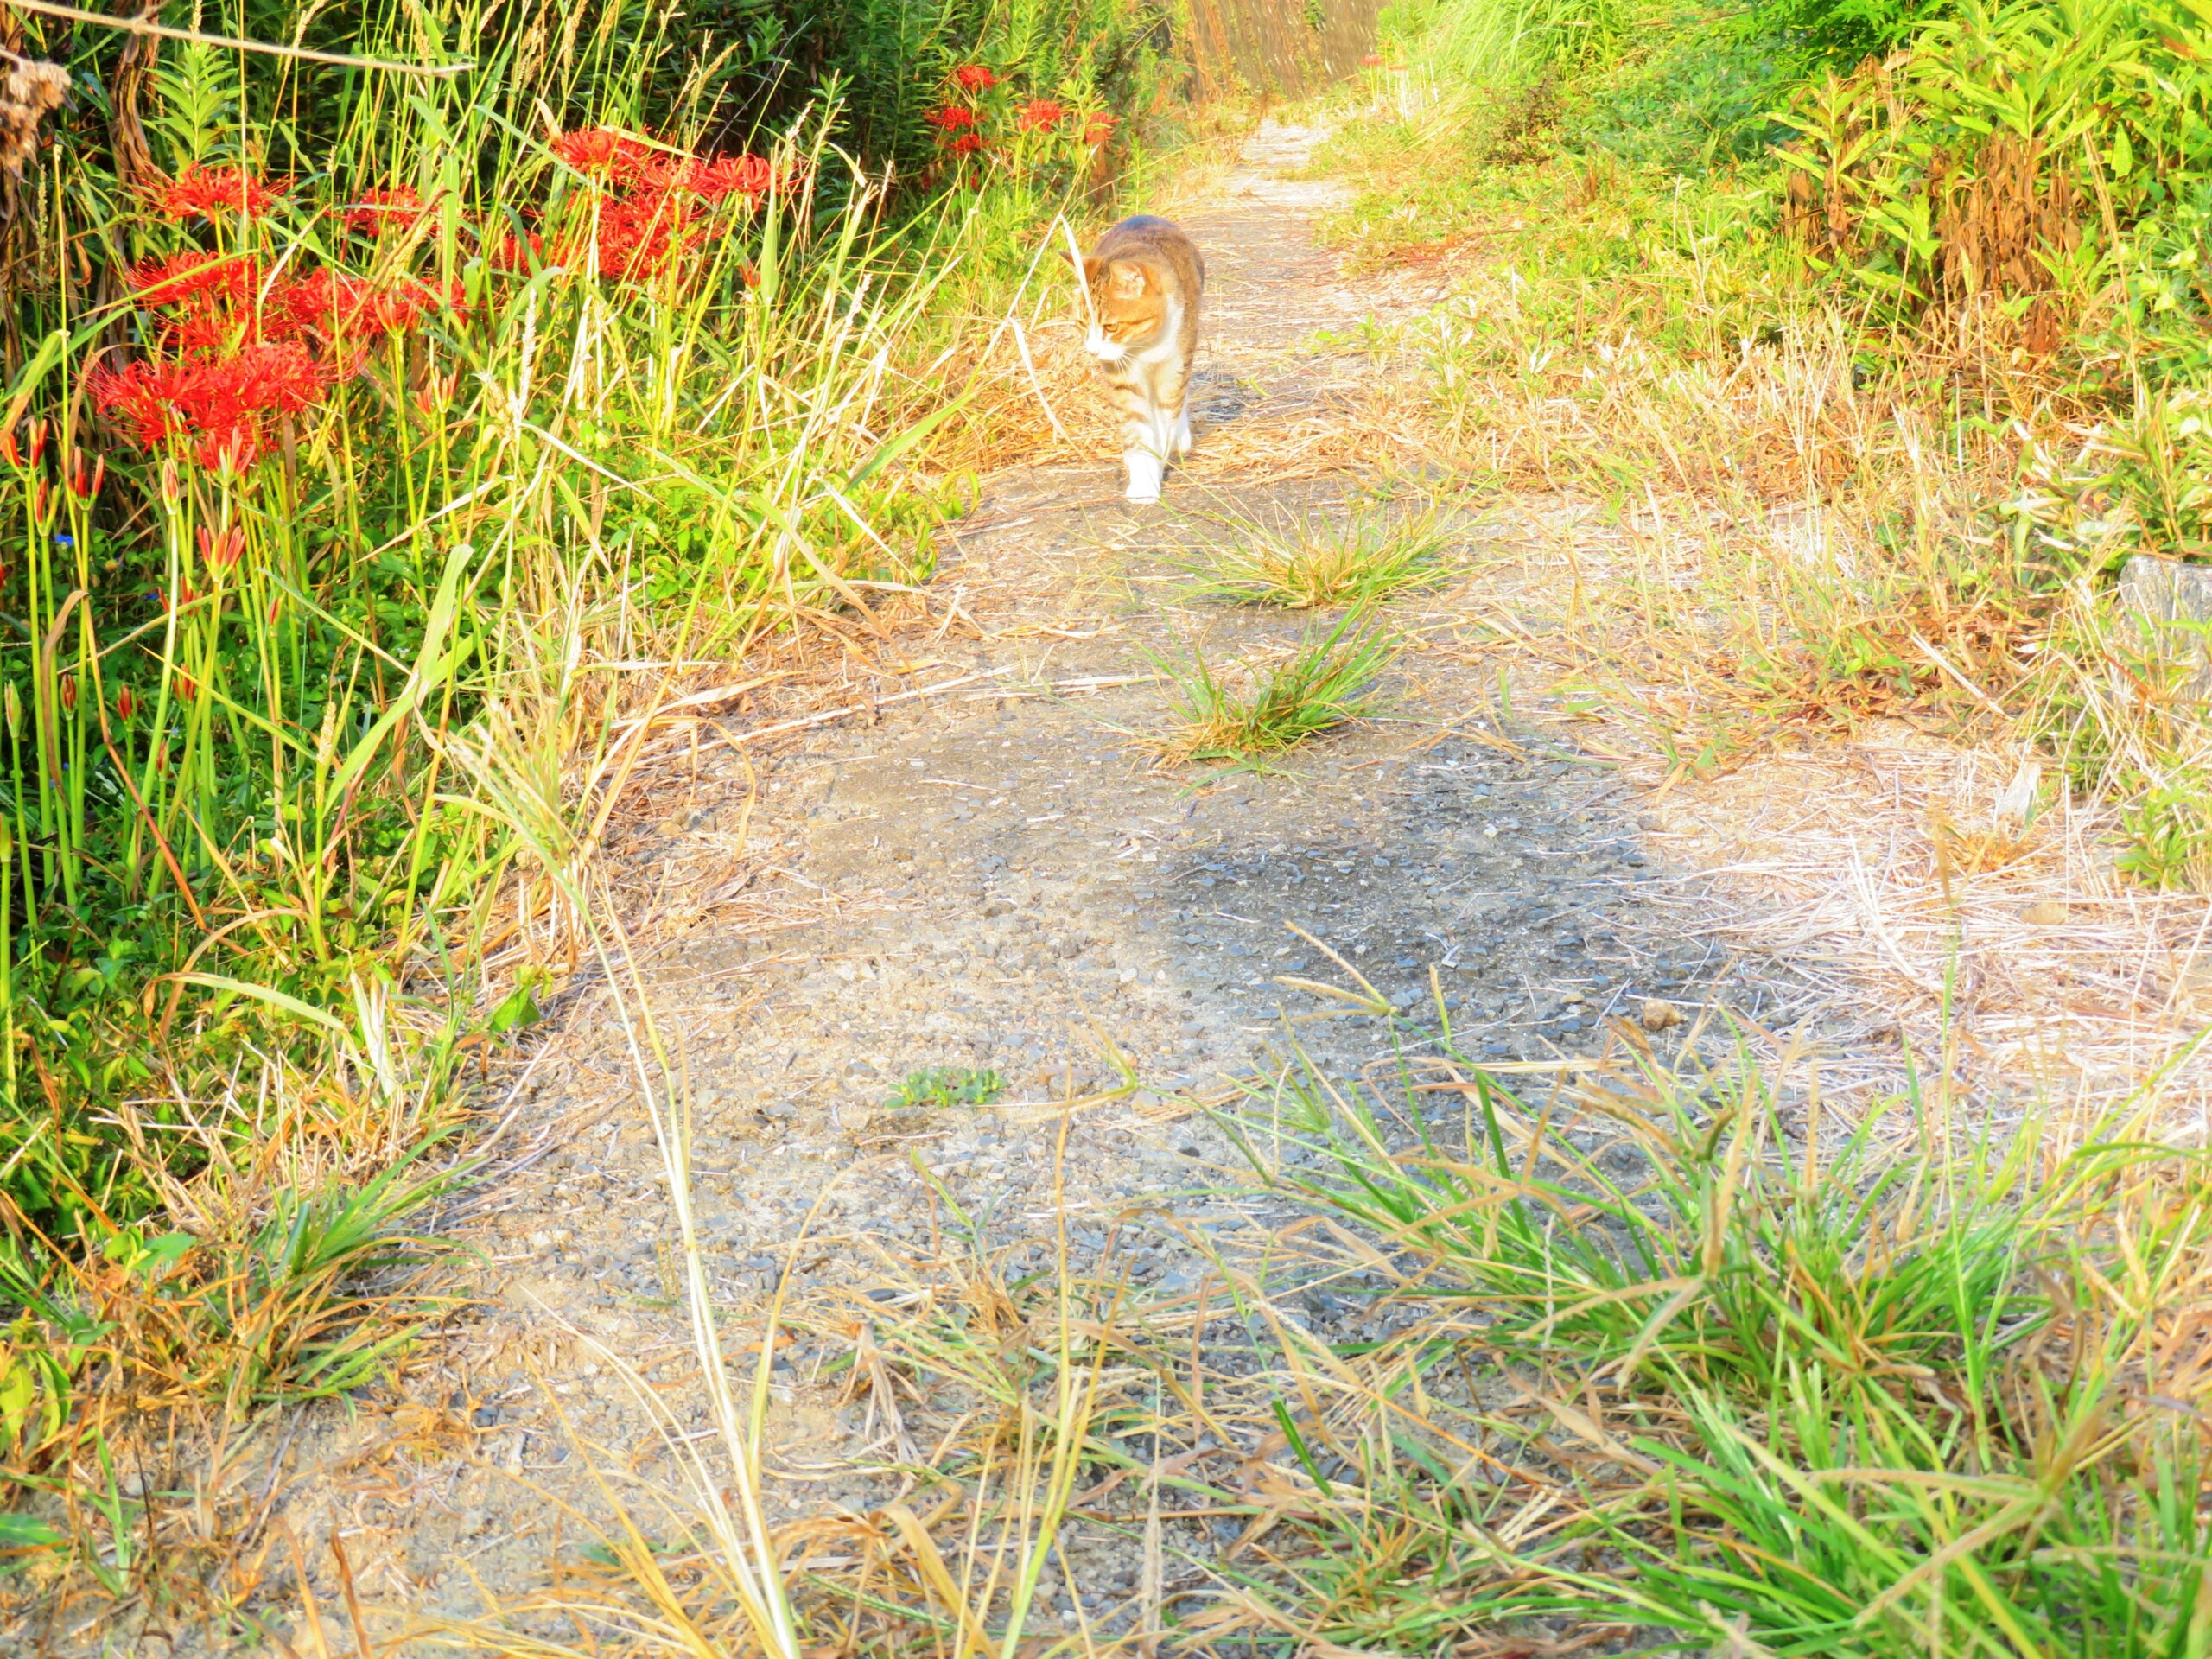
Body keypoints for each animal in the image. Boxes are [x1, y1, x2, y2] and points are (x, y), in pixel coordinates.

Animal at [1075, 214, 1203, 504]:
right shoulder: (1124, 378)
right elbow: (1136, 429)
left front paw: (1160, 461)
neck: (1147, 346)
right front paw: (1144, 481)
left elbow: (1167, 419)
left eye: (1111, 327)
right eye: (1082, 324)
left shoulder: (1174, 370)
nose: (1093, 351)